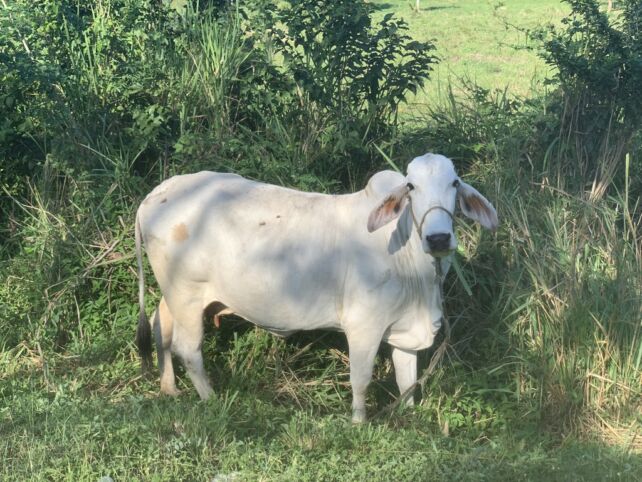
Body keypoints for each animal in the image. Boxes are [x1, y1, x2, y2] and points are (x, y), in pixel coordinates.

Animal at [135, 153, 498, 422]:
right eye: (411, 186)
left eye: (454, 182)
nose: (438, 238)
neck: (418, 273)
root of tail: (156, 194)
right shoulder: (363, 326)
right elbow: (361, 379)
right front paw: (359, 423)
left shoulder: (407, 328)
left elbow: (407, 381)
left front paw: (409, 417)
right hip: (187, 295)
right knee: (187, 348)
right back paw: (211, 399)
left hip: (174, 296)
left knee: (160, 327)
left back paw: (170, 389)